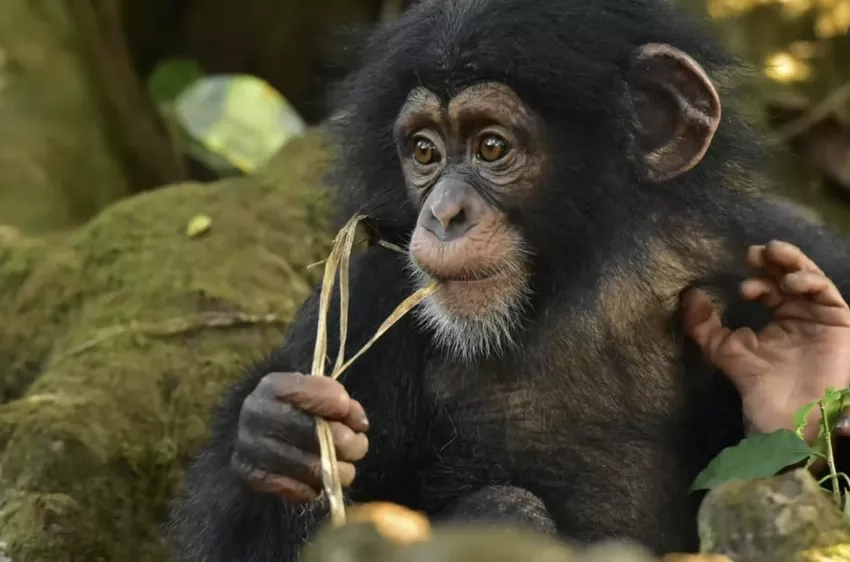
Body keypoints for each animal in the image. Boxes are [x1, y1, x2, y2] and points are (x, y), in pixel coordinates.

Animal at [169, 0, 848, 556]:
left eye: (492, 147)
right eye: (424, 151)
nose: (445, 212)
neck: (582, 284)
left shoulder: (790, 241)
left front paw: (793, 366)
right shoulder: (366, 297)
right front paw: (283, 439)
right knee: (508, 505)